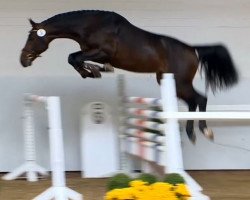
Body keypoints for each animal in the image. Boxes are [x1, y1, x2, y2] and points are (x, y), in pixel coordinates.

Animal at [19, 9, 238, 144]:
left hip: (180, 81)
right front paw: (96, 70)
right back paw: (193, 133)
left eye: (31, 37)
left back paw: (203, 131)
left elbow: (73, 57)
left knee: (200, 98)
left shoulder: (101, 52)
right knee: (193, 101)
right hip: (167, 80)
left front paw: (91, 72)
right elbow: (77, 59)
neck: (90, 25)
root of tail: (193, 49)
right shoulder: (93, 53)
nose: (23, 60)